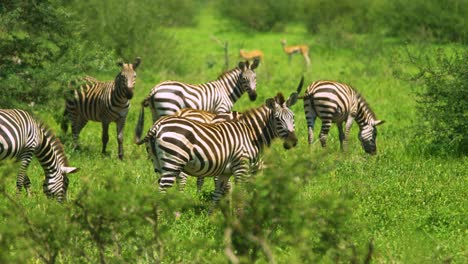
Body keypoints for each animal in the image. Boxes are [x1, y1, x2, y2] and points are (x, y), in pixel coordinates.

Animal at [135, 77, 304, 203]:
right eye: (277, 119)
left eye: (293, 117)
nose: (293, 141)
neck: (251, 132)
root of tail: (157, 126)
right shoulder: (240, 164)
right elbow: (238, 189)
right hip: (174, 159)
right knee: (171, 184)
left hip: (158, 162)